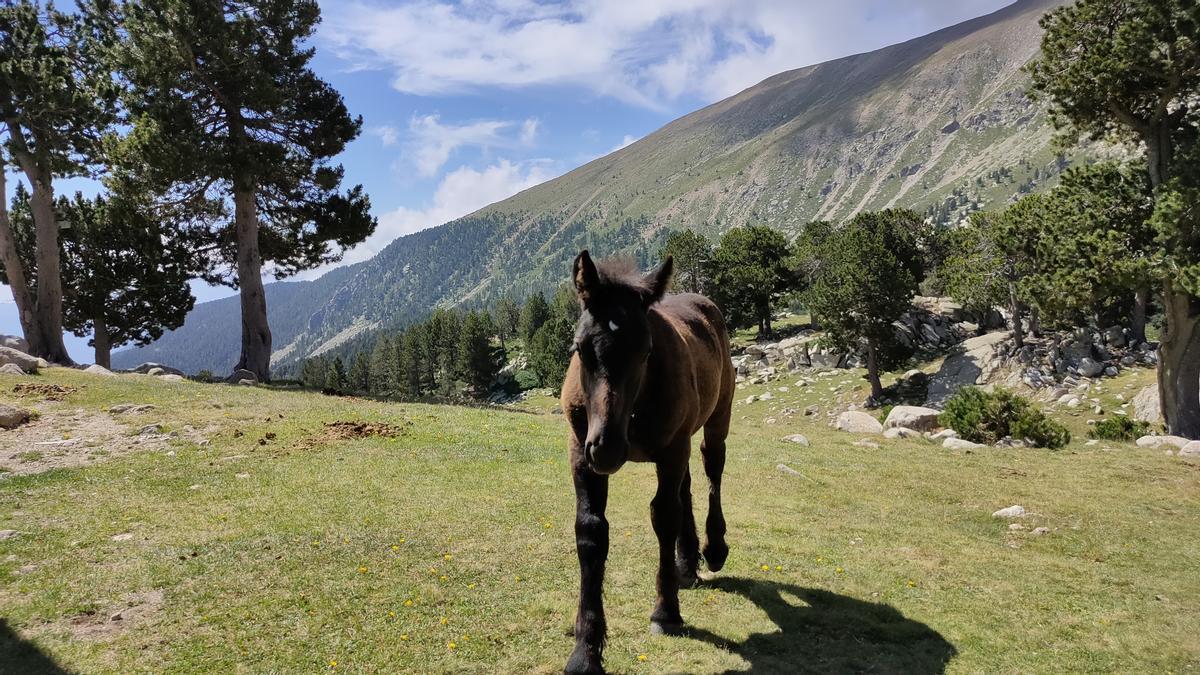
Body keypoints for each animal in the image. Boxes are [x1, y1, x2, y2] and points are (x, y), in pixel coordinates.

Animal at [559, 249, 729, 667]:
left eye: (646, 351)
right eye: (580, 348)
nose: (607, 448)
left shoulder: (671, 450)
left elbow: (663, 517)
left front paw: (665, 611)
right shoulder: (579, 448)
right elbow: (591, 531)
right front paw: (586, 647)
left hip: (716, 416)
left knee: (712, 467)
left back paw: (713, 549)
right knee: (686, 488)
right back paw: (687, 562)